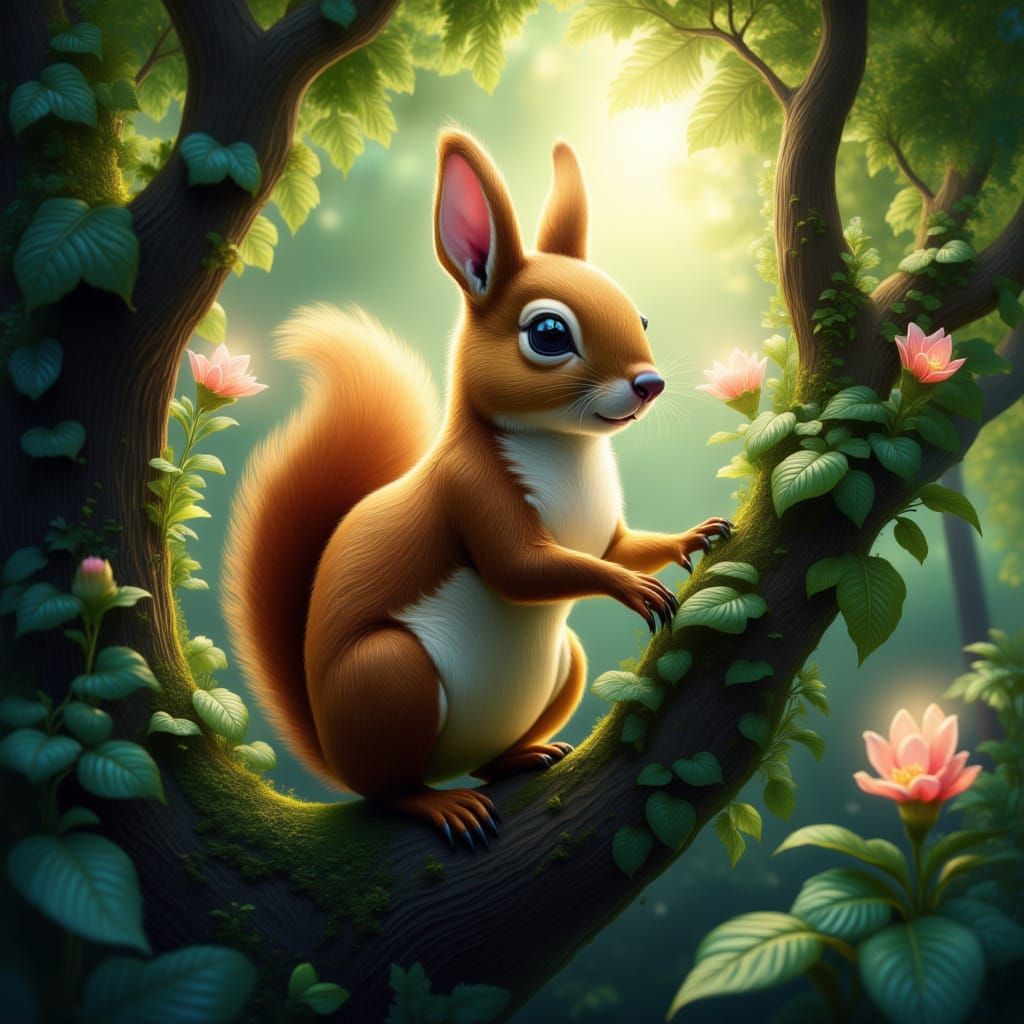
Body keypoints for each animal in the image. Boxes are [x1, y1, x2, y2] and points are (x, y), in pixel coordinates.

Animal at [223, 129, 732, 848]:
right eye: (548, 334)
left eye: (641, 317)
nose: (649, 384)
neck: (565, 449)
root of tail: (332, 748)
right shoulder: (470, 492)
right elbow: (522, 568)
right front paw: (633, 589)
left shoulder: (601, 531)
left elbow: (620, 546)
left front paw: (693, 536)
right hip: (390, 678)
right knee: (387, 790)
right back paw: (441, 806)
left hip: (563, 666)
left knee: (489, 758)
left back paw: (522, 756)